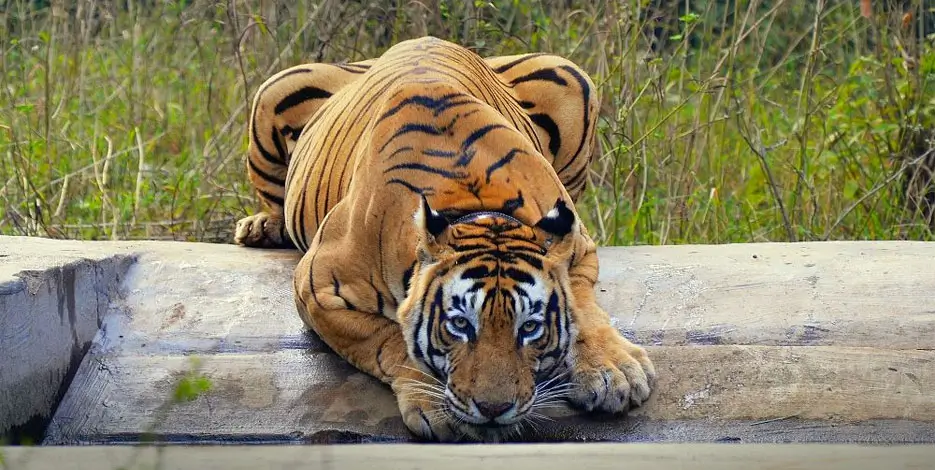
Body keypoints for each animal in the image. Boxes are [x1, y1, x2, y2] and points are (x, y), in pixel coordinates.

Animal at [234, 36, 655, 442]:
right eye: (460, 325)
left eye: (529, 327)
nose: (493, 409)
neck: (476, 204)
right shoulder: (318, 288)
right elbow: (391, 340)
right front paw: (436, 405)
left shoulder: (578, 246)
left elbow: (583, 309)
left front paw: (614, 371)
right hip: (273, 90)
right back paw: (260, 228)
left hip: (568, 72)